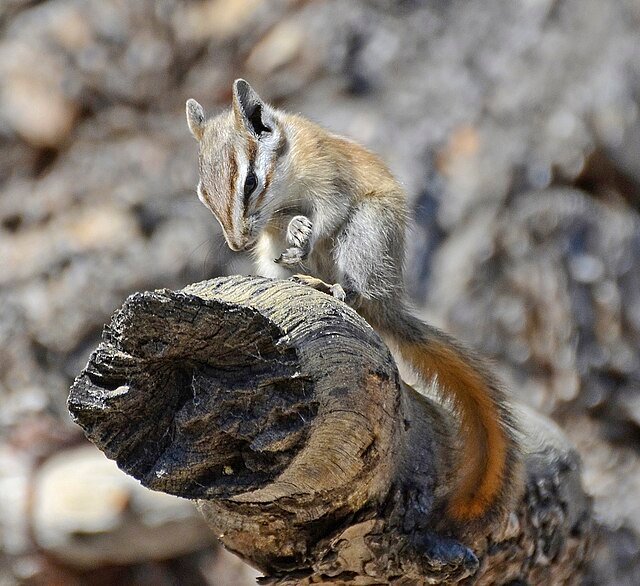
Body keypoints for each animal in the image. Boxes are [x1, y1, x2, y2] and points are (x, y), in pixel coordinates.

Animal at [185, 79, 521, 531]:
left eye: (251, 182)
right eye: (203, 195)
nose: (237, 245)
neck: (285, 185)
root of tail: (390, 302)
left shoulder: (330, 178)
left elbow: (329, 212)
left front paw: (305, 232)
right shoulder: (273, 228)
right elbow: (282, 226)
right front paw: (293, 229)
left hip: (366, 233)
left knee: (358, 290)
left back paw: (332, 288)